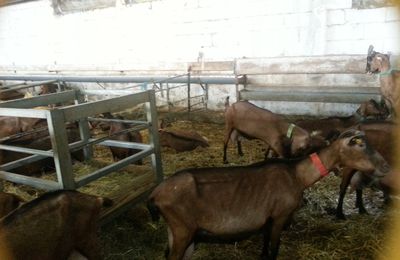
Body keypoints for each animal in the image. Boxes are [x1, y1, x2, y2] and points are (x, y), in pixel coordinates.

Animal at [148, 129, 388, 258]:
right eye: (359, 145)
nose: (385, 167)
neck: (297, 175)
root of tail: (155, 194)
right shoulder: (281, 215)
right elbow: (274, 248)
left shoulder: (268, 218)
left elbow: (265, 245)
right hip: (182, 229)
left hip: (176, 230)